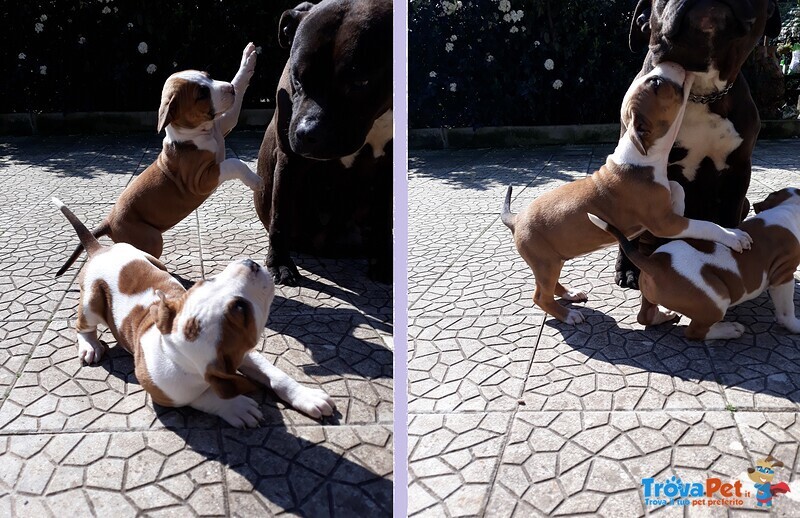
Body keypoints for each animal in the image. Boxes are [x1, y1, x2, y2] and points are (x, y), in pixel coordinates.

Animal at [51, 197, 334, 428]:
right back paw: (90, 346)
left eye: (207, 281)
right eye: (241, 308)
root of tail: (100, 249)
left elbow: (275, 374)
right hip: (91, 302)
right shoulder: (166, 392)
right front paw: (236, 406)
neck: (176, 354)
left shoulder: (242, 354)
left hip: (152, 259)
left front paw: (307, 396)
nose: (251, 263)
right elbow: (203, 397)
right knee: (82, 325)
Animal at [57, 44, 262, 278]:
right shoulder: (199, 180)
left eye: (209, 77)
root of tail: (108, 221)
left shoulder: (224, 125)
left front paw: (248, 59)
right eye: (201, 94)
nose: (229, 88)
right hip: (151, 238)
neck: (197, 133)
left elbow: (237, 95)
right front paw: (256, 181)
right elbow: (234, 163)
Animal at [255, 0, 392, 286]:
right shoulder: (289, 159)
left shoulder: (388, 164)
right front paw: (280, 264)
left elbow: (384, 219)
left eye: (360, 81)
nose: (307, 132)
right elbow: (280, 214)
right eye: (297, 78)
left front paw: (384, 264)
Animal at [588, 189, 800, 344]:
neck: (788, 209)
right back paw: (729, 330)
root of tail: (655, 264)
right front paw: (794, 325)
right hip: (717, 300)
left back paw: (663, 315)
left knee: (645, 316)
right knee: (694, 332)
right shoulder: (783, 276)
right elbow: (786, 309)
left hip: (649, 294)